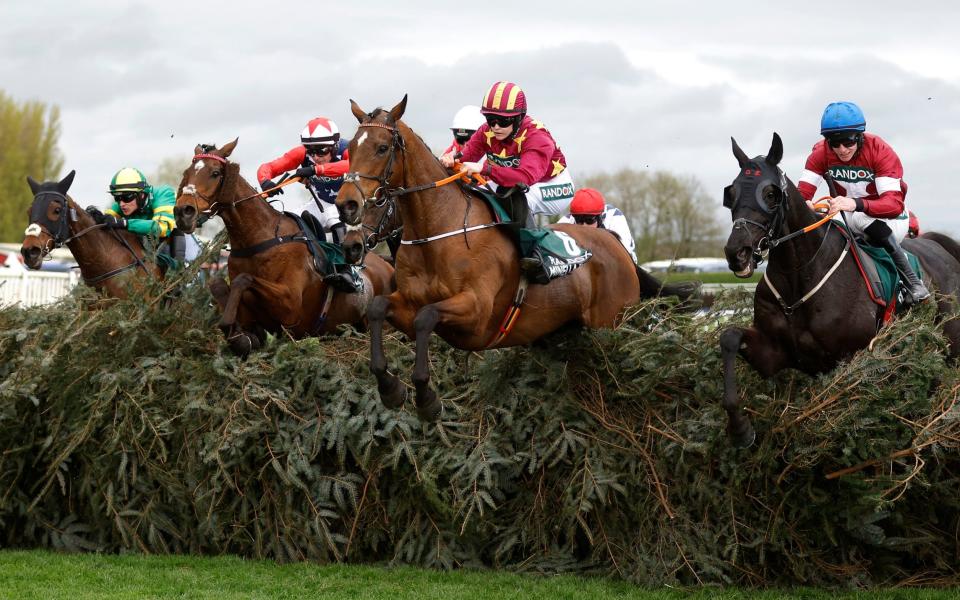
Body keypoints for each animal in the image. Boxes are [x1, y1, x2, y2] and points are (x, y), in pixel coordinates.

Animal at [172, 139, 394, 356]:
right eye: (186, 173)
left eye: (215, 173)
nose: (183, 212)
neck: (258, 240)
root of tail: (388, 266)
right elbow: (217, 284)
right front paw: (241, 337)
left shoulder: (290, 306)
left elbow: (244, 279)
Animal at [336, 95, 688, 422]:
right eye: (351, 147)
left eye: (382, 148)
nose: (346, 205)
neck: (437, 232)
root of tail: (616, 246)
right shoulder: (407, 303)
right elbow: (379, 308)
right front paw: (390, 389)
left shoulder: (476, 312)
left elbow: (427, 316)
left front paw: (426, 399)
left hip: (612, 321)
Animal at [716, 134, 960, 448]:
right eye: (731, 192)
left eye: (770, 194)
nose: (738, 253)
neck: (799, 277)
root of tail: (937, 244)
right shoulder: (776, 354)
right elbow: (729, 338)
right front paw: (740, 429)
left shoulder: (845, 358)